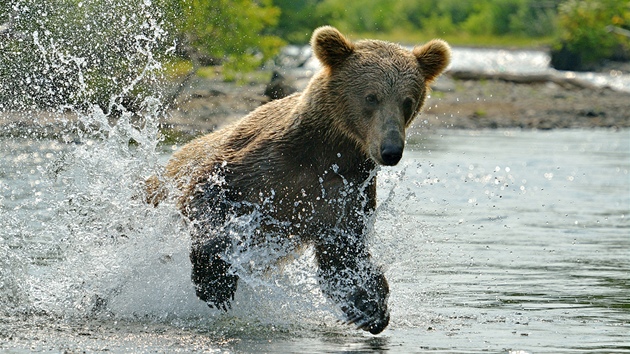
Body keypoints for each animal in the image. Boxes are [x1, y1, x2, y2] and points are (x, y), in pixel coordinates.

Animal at [148, 26, 450, 334]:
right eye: (371, 97)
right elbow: (209, 193)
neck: (327, 150)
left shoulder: (345, 192)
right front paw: (215, 283)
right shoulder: (262, 162)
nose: (390, 150)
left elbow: (343, 254)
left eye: (408, 101)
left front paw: (371, 305)